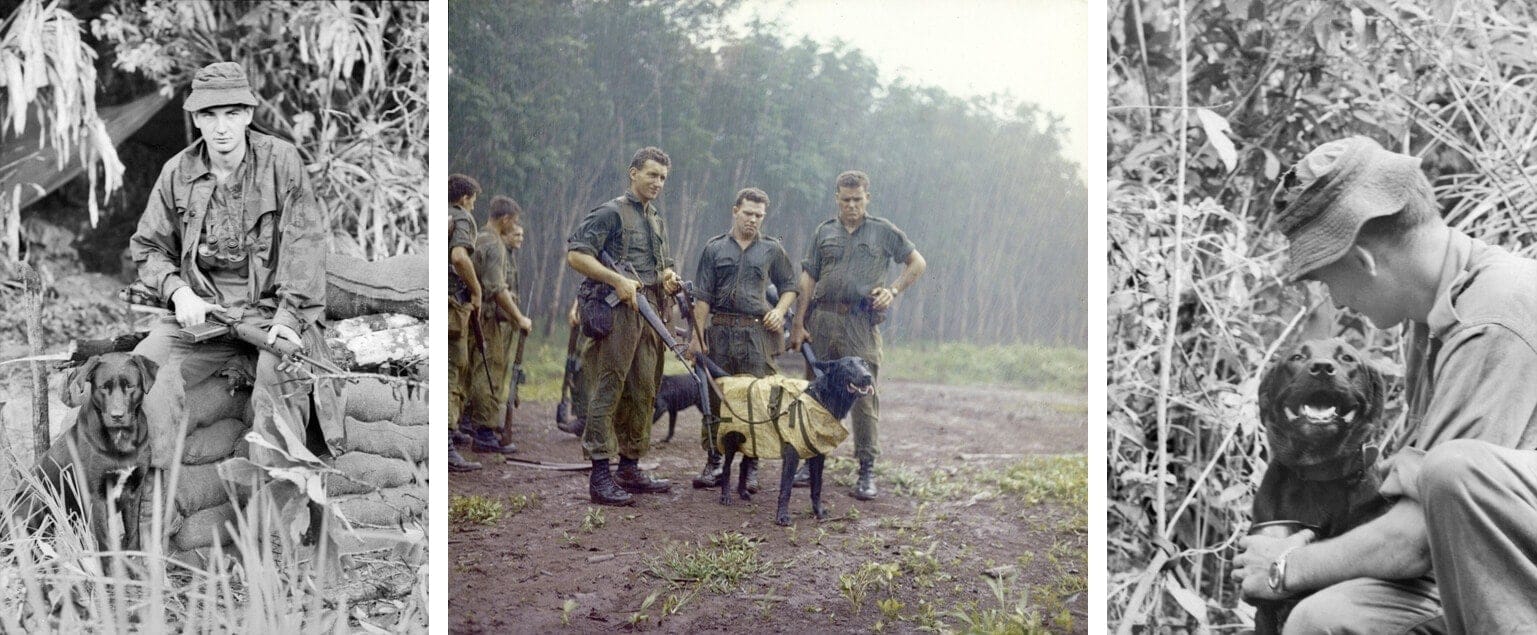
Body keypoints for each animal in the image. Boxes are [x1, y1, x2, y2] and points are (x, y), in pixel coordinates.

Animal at [14, 352, 157, 553]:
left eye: (130, 386)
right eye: (103, 387)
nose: (117, 416)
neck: (121, 440)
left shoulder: (134, 491)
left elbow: (133, 535)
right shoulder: (95, 497)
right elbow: (103, 541)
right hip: (34, 503)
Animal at [710, 356, 873, 525]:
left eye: (865, 364)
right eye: (847, 365)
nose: (868, 376)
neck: (821, 397)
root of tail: (733, 379)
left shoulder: (818, 456)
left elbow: (816, 486)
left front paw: (819, 512)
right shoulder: (792, 454)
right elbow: (786, 487)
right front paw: (782, 516)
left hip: (753, 440)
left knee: (743, 465)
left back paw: (742, 492)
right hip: (732, 439)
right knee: (727, 468)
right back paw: (725, 496)